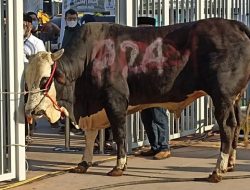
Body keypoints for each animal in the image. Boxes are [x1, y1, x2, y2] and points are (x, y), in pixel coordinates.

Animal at [24, 18, 250, 183]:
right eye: (27, 80)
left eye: (44, 79)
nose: (30, 110)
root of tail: (233, 24)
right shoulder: (93, 108)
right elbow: (90, 135)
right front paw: (84, 163)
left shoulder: (115, 101)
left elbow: (120, 134)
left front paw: (118, 166)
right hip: (233, 98)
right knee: (236, 123)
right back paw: (229, 164)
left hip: (222, 96)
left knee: (227, 127)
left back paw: (217, 171)